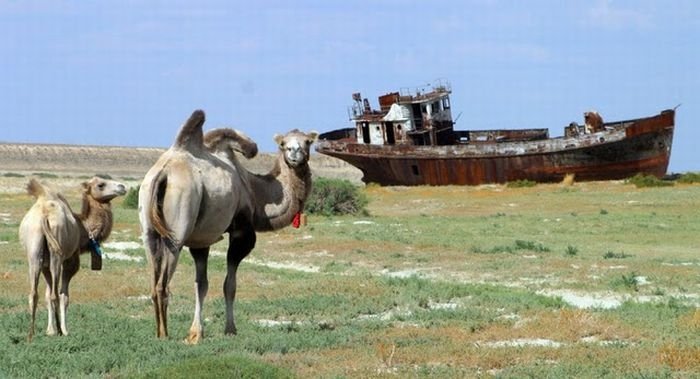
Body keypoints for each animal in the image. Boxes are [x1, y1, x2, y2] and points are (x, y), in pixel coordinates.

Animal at [20, 177, 127, 342]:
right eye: (100, 184)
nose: (122, 187)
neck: (83, 228)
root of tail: (44, 214)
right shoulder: (71, 260)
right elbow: (64, 296)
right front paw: (63, 330)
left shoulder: (44, 264)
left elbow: (46, 294)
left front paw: (49, 330)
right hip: (57, 253)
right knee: (55, 295)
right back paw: (59, 330)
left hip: (34, 251)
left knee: (33, 293)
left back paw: (30, 335)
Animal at [137, 110, 318, 344]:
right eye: (283, 143)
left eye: (308, 141)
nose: (294, 152)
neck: (254, 192)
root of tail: (163, 173)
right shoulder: (242, 231)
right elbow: (229, 285)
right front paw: (230, 329)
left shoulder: (201, 239)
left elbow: (201, 284)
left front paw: (196, 333)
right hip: (177, 229)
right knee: (162, 284)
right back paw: (164, 334)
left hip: (149, 229)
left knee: (153, 278)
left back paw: (158, 332)